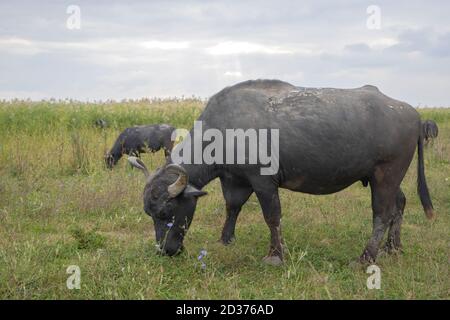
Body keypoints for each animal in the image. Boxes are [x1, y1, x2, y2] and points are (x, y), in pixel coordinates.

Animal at [128, 79, 434, 264]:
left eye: (167, 212)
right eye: (149, 214)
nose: (166, 250)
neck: (224, 130)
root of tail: (413, 114)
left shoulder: (263, 180)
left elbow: (272, 217)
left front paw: (275, 254)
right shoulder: (234, 179)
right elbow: (232, 207)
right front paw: (226, 239)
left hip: (386, 174)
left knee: (382, 213)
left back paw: (366, 257)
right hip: (384, 177)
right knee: (400, 203)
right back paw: (393, 247)